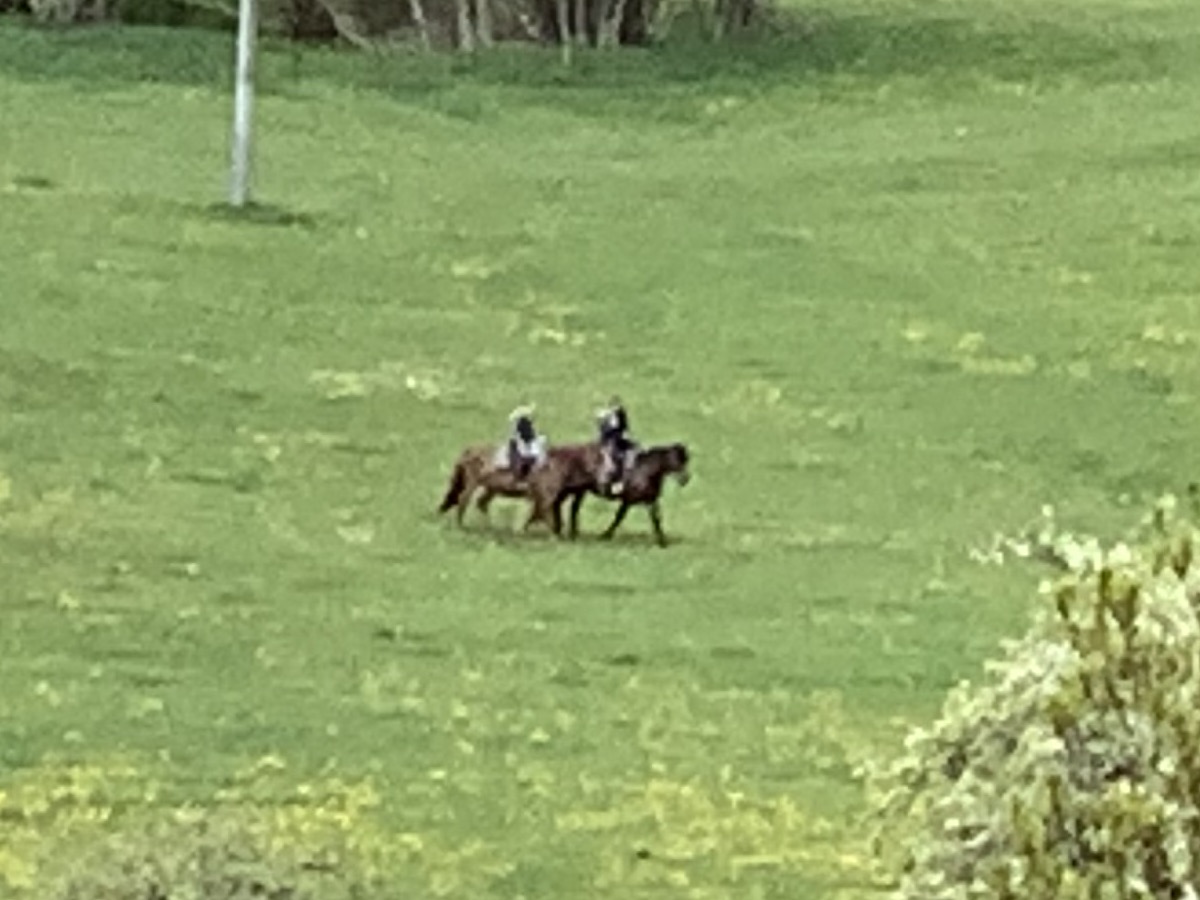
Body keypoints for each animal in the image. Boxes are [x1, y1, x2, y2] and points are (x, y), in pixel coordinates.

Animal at [530, 444, 691, 549]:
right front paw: (605, 536)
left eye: (685, 461)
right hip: (572, 490)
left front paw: (663, 541)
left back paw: (568, 533)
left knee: (568, 508)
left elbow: (656, 519)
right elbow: (619, 517)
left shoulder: (650, 500)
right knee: (562, 507)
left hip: (577, 491)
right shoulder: (628, 500)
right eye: (677, 461)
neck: (644, 471)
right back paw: (563, 532)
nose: (685, 479)